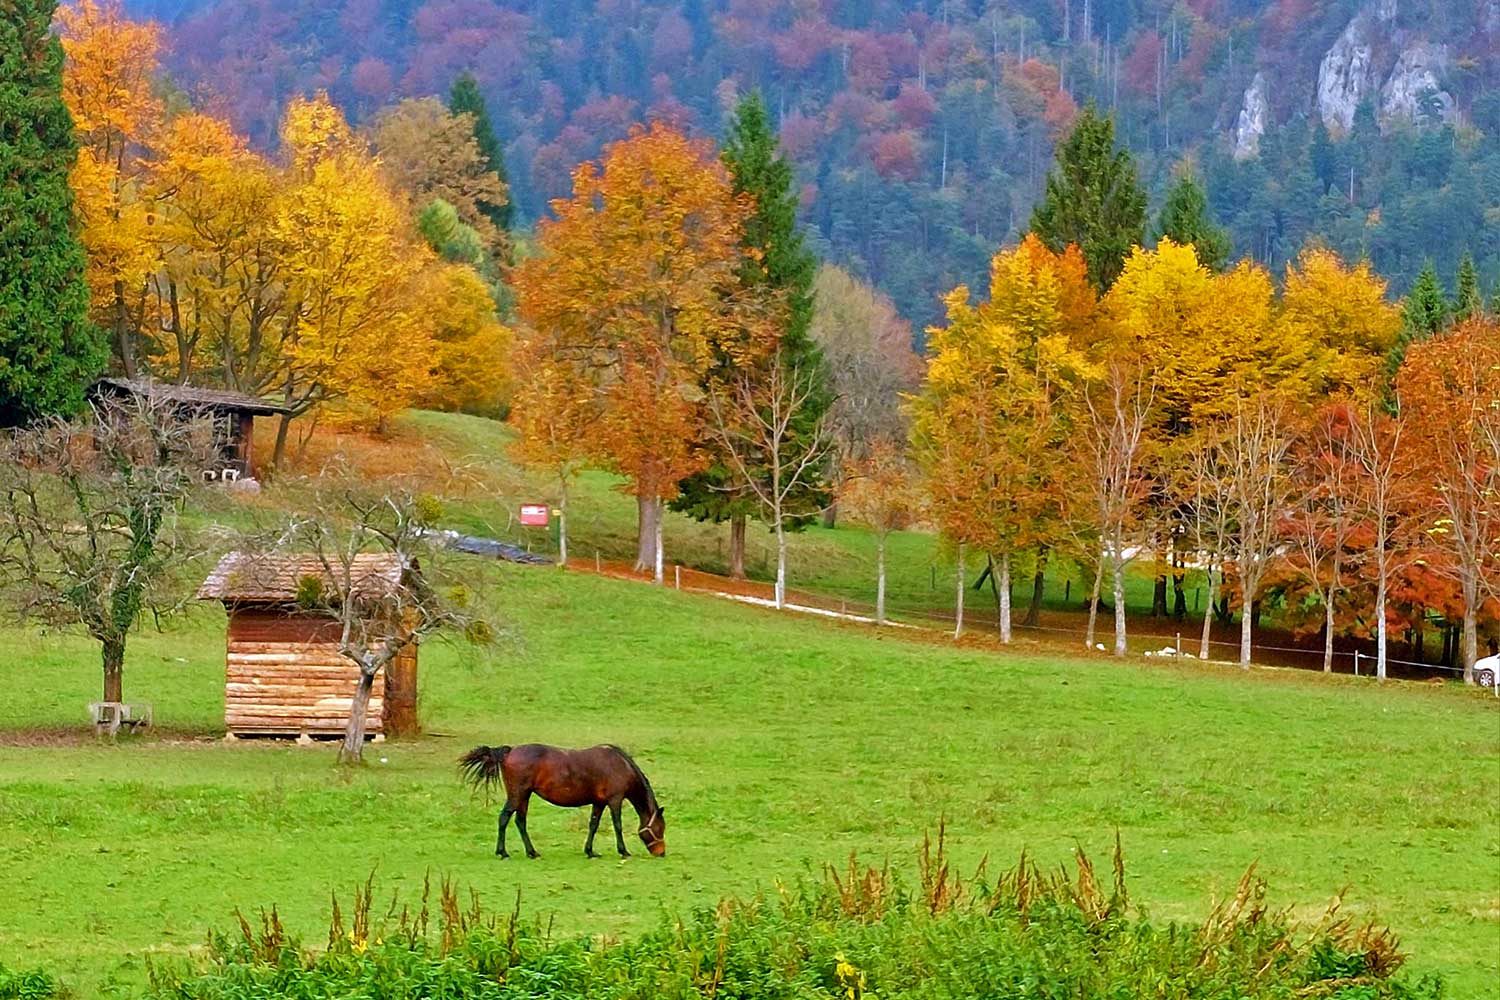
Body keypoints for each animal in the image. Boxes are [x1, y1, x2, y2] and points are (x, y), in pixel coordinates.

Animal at [459, 743, 666, 863]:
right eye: (659, 828)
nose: (661, 852)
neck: (621, 765)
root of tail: (509, 752)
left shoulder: (599, 803)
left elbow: (593, 825)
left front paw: (590, 851)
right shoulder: (615, 800)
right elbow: (618, 825)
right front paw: (623, 851)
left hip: (524, 796)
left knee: (520, 821)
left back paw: (532, 852)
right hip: (518, 795)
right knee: (504, 818)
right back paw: (502, 852)